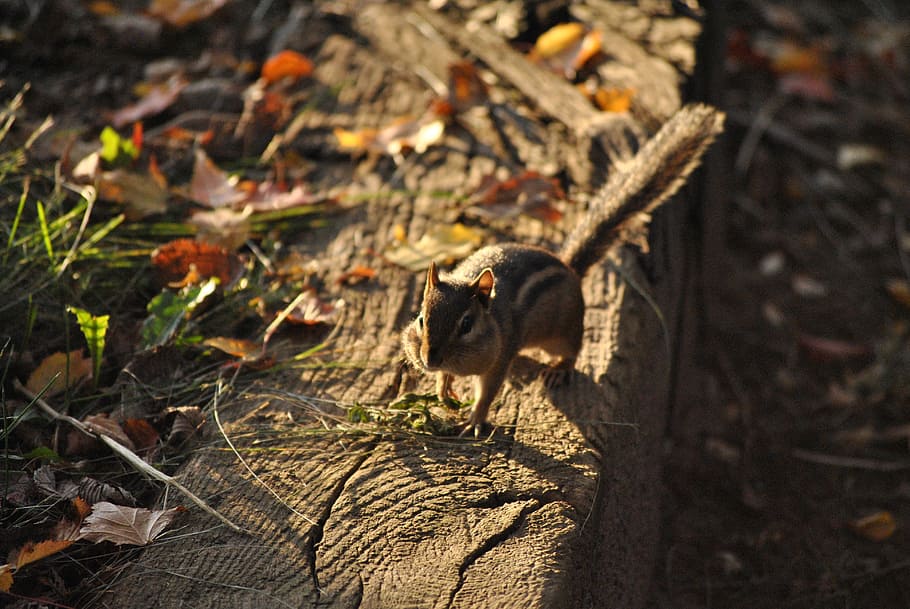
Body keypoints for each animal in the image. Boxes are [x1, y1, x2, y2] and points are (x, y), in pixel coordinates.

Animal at [401, 103, 724, 436]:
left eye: (466, 324)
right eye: (422, 319)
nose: (430, 358)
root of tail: (567, 265)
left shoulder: (501, 355)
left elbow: (488, 391)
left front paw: (475, 420)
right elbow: (445, 378)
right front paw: (443, 391)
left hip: (563, 332)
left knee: (573, 350)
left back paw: (559, 370)